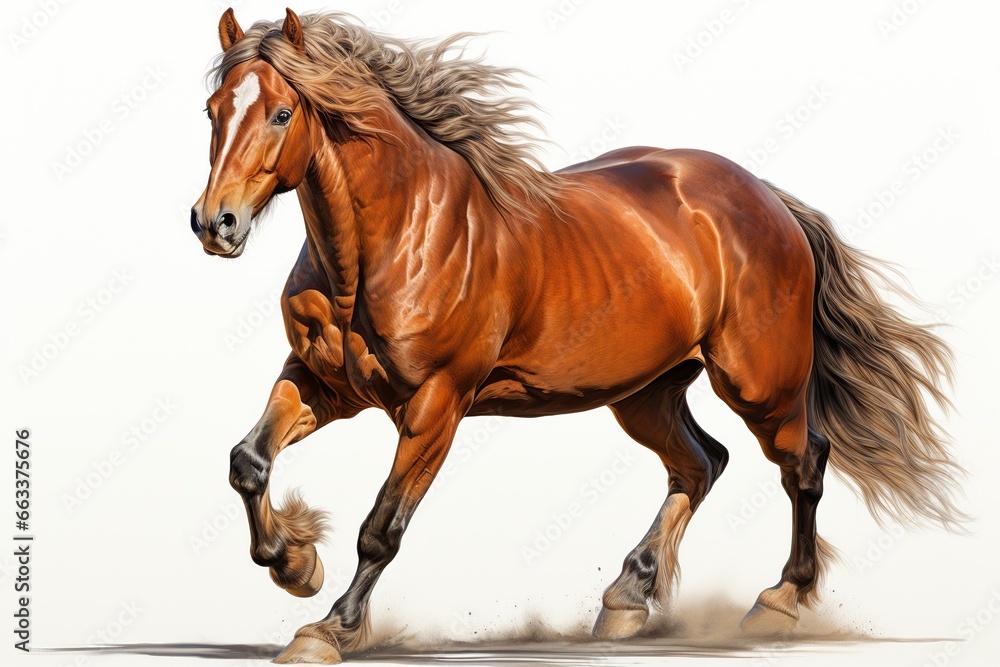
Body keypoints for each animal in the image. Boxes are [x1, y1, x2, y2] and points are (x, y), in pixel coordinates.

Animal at [190, 9, 965, 664]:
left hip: (760, 385)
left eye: (283, 112)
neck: (395, 237)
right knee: (701, 463)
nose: (214, 223)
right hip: (645, 393)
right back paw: (627, 598)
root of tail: (770, 199)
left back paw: (777, 601)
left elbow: (381, 528)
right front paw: (296, 564)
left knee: (802, 463)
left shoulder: (436, 404)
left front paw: (329, 627)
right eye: (213, 110)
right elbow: (247, 461)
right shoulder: (323, 383)